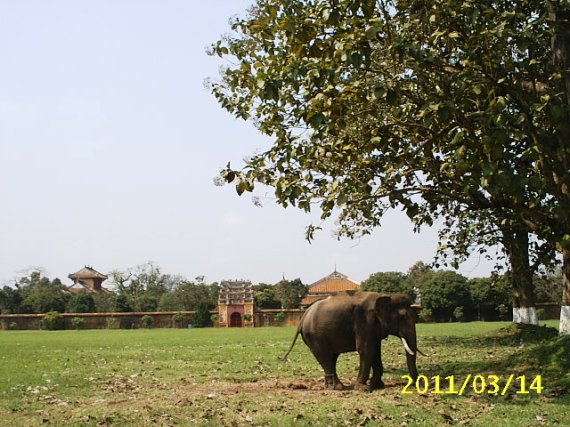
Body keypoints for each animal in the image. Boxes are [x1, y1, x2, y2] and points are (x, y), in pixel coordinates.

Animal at [282, 292, 420, 392]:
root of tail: (303, 316)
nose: (415, 383)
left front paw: (377, 385)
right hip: (314, 337)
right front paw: (364, 389)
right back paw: (338, 388)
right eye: (403, 317)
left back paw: (330, 386)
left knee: (331, 358)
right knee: (325, 357)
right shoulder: (364, 322)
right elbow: (366, 349)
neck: (385, 296)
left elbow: (376, 351)